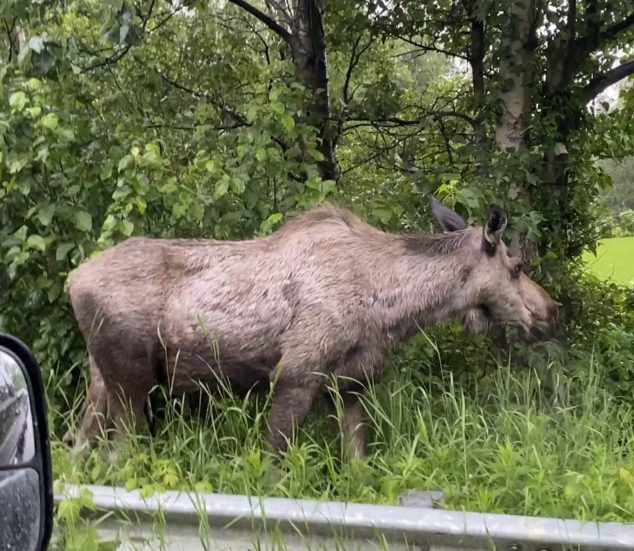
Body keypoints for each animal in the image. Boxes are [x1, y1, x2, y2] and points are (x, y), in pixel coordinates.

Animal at [64, 201, 556, 460]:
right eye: (516, 267)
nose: (550, 311)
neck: (393, 311)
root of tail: (73, 280)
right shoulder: (297, 374)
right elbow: (274, 466)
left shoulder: (354, 385)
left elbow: (358, 463)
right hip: (131, 382)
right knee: (118, 455)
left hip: (100, 381)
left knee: (79, 445)